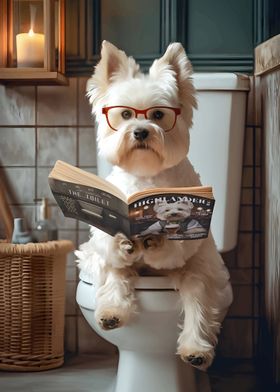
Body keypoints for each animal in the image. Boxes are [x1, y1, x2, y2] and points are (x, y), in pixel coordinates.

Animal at [75, 40, 233, 370]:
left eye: (158, 114)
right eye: (125, 114)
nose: (140, 131)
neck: (146, 175)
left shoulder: (186, 240)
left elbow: (171, 247)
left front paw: (155, 241)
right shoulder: (101, 238)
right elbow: (113, 250)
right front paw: (126, 241)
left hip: (201, 269)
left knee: (198, 300)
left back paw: (195, 349)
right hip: (95, 260)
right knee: (115, 275)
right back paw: (112, 312)